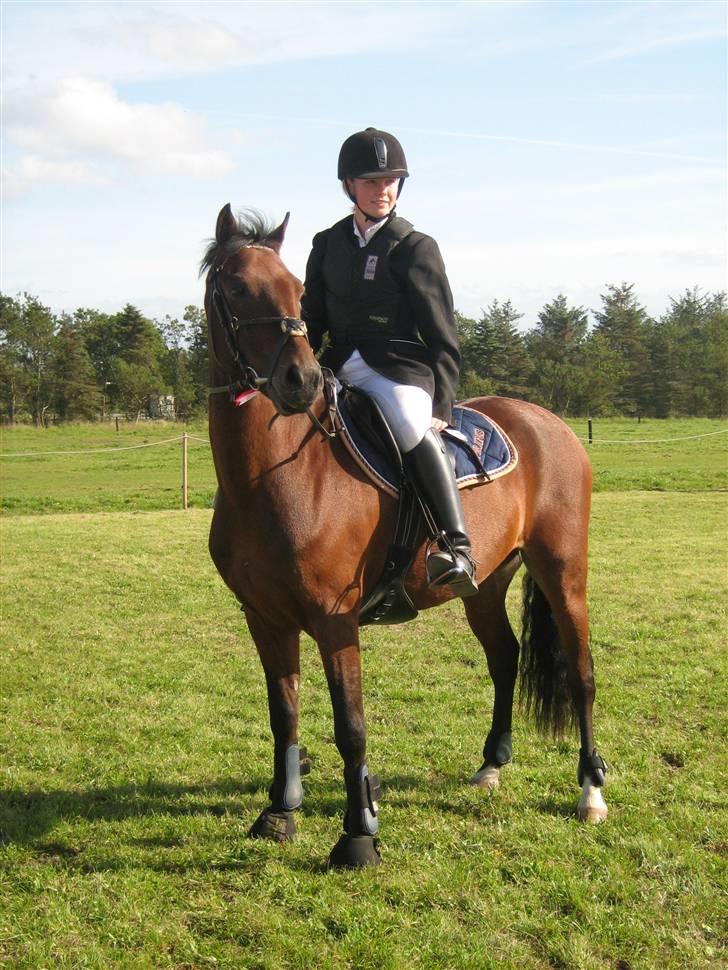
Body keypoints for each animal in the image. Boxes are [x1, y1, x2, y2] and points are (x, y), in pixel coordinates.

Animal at [201, 204, 608, 869]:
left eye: (296, 289)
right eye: (236, 289)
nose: (300, 379)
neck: (270, 476)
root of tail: (549, 421)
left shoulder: (334, 619)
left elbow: (351, 726)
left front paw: (359, 834)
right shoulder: (264, 616)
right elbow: (283, 714)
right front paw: (279, 812)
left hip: (563, 572)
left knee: (580, 673)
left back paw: (591, 791)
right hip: (485, 587)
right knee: (504, 658)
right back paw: (491, 766)